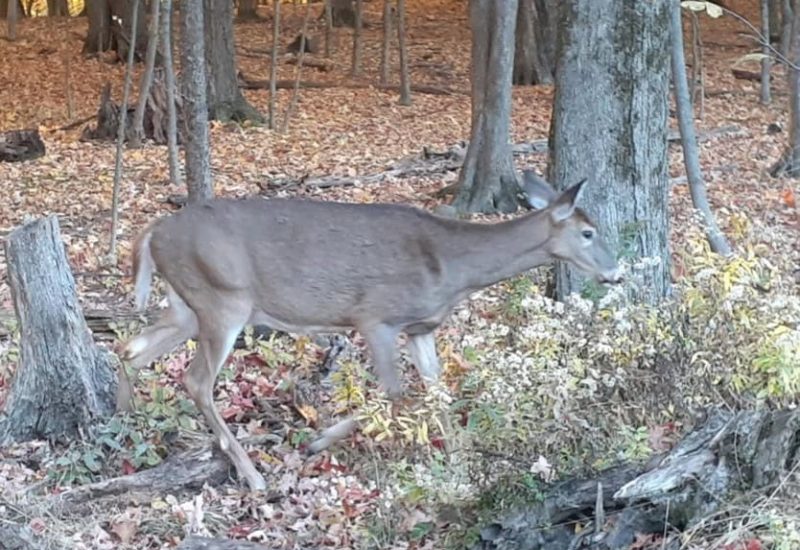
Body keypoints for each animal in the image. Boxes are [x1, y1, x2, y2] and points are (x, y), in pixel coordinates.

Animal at [115, 172, 620, 492]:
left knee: (131, 349)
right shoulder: (375, 318)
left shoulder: (421, 326)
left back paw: (123, 427)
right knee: (196, 379)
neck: (452, 268)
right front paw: (319, 440)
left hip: (188, 305)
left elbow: (437, 393)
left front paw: (459, 460)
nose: (616, 272)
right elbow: (396, 396)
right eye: (589, 232)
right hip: (224, 299)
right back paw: (253, 475)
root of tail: (154, 231)